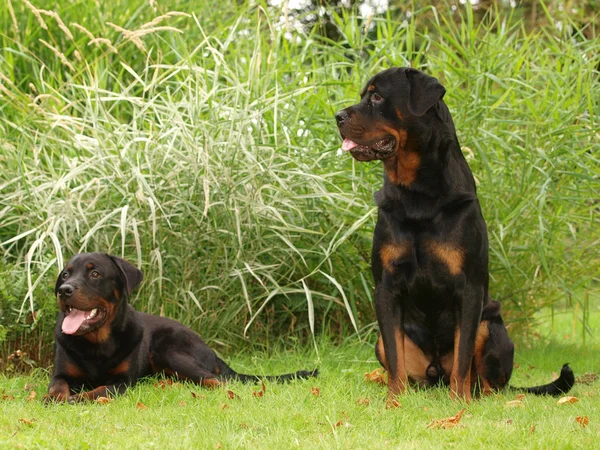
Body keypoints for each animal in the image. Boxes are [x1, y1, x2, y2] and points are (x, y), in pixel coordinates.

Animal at [45, 251, 318, 402]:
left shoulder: (123, 381)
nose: (64, 290)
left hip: (171, 350)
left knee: (216, 380)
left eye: (95, 274)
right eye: (66, 275)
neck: (97, 343)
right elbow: (57, 386)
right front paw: (55, 397)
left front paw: (78, 398)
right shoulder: (61, 373)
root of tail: (211, 350)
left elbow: (100, 390)